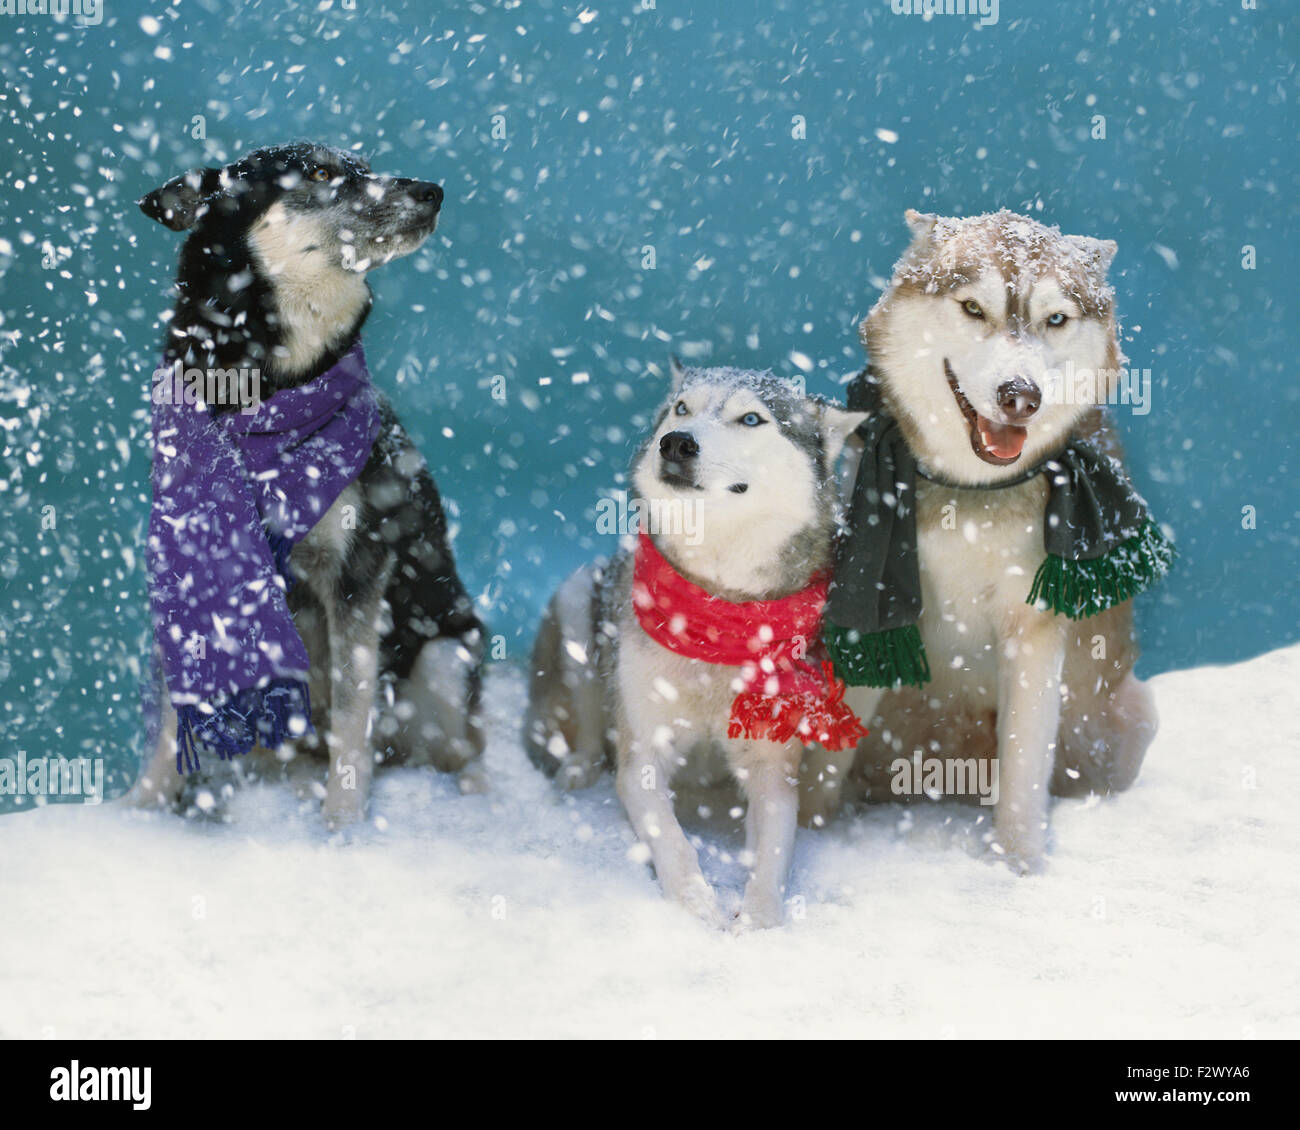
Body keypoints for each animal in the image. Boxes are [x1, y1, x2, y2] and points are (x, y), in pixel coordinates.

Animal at [133, 145, 488, 827]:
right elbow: (169, 721)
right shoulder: (190, 566)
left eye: (364, 165)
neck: (266, 388)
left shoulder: (358, 571)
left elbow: (353, 718)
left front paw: (342, 829)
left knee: (456, 751)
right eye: (321, 173)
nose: (433, 191)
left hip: (445, 655)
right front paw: (135, 811)